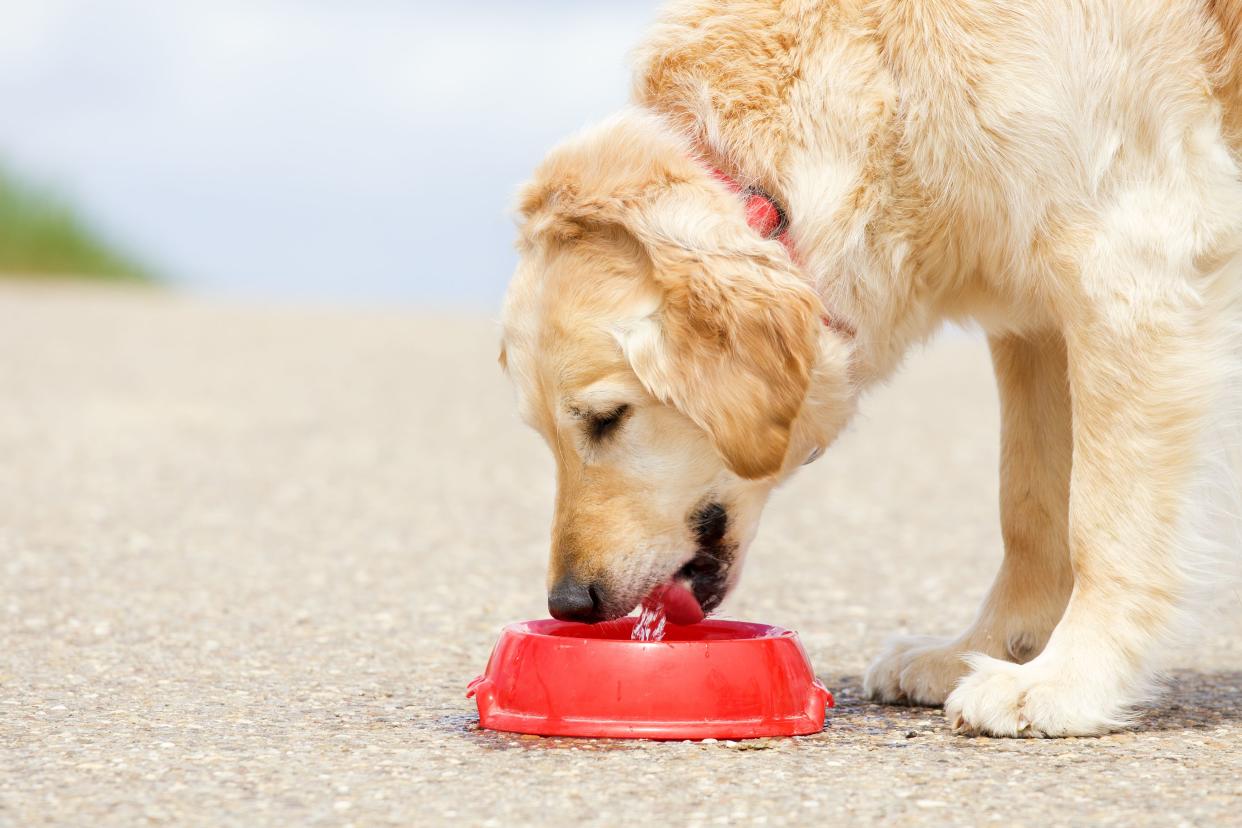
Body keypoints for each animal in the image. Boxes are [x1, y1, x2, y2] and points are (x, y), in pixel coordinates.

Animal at [494, 0, 1242, 739]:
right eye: (543, 435)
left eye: (607, 418)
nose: (569, 604)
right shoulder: (1032, 317)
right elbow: (1028, 507)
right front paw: (984, 650)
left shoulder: (1126, 268)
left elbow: (1101, 521)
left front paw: (1068, 681)